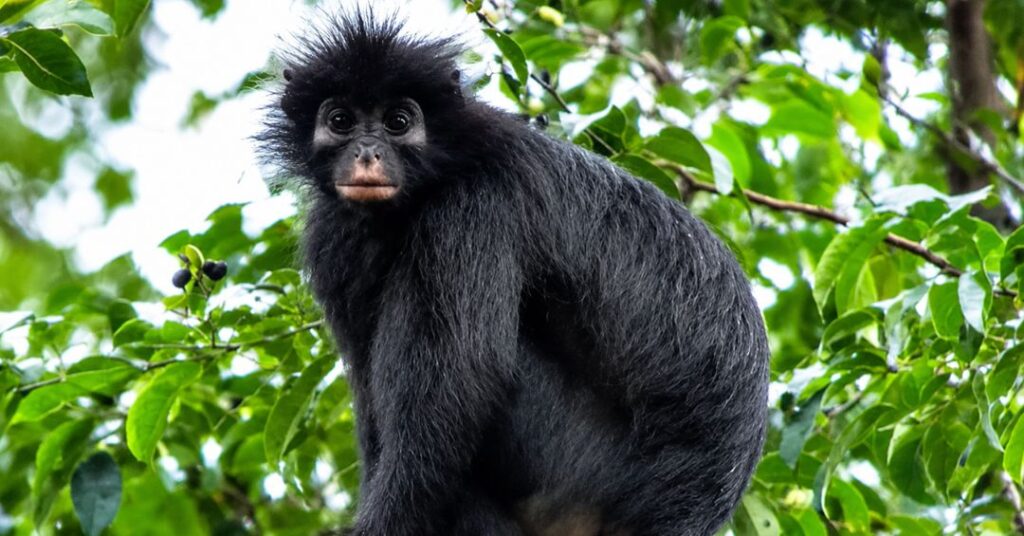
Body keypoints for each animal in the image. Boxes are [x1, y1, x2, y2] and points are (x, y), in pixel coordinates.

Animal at [259, 12, 769, 536]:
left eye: (398, 123)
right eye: (340, 121)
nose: (366, 153)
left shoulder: (474, 206)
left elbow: (460, 384)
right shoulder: (332, 238)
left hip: (575, 462)